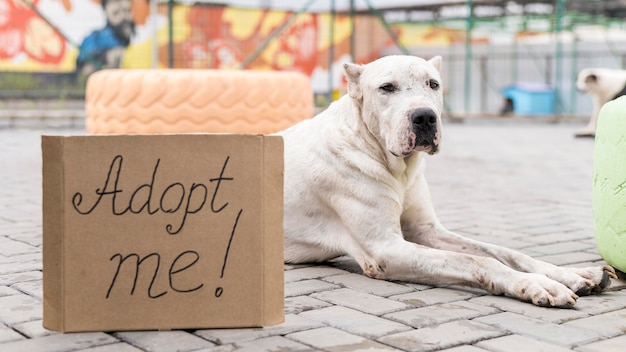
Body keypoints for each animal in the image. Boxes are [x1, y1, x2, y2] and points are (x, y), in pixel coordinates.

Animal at [280, 53, 616, 306]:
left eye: (433, 84)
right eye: (386, 87)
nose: (425, 117)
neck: (393, 163)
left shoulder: (427, 231)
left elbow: (505, 252)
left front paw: (574, 274)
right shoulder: (384, 248)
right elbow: (478, 261)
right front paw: (537, 284)